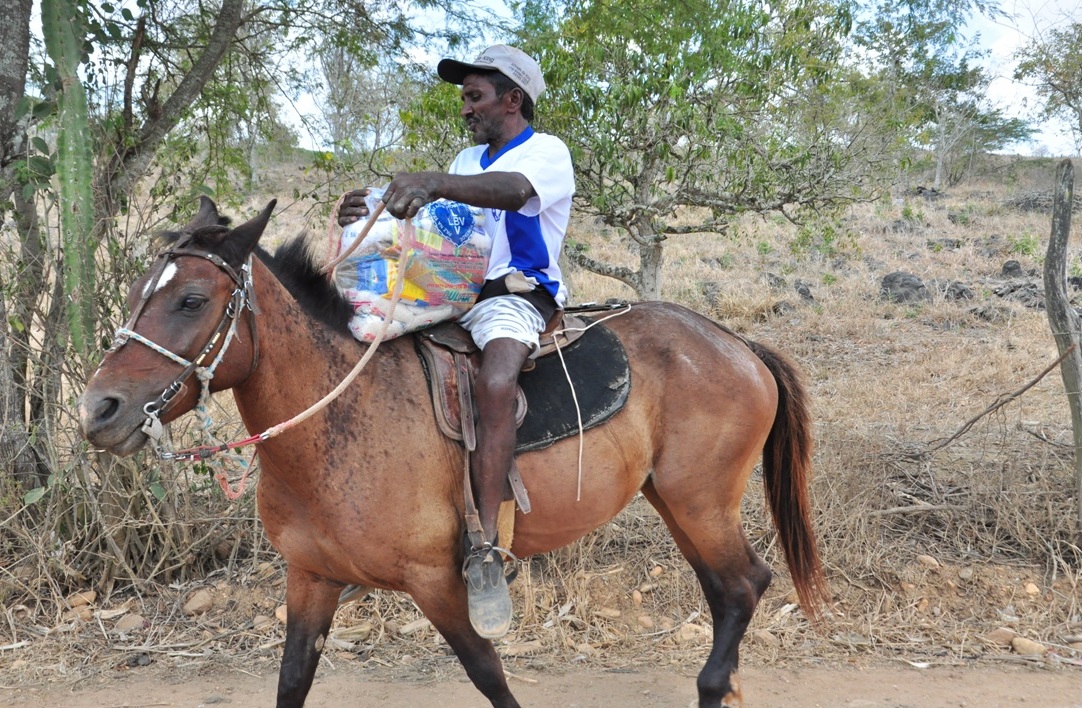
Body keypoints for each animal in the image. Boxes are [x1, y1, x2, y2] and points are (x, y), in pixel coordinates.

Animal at [78, 199, 826, 708]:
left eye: (190, 300)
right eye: (138, 292)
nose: (98, 410)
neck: (341, 419)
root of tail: (736, 344)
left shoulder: (437, 583)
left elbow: (489, 675)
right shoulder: (309, 580)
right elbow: (291, 682)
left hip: (700, 501)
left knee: (745, 585)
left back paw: (712, 685)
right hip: (676, 500)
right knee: (728, 591)